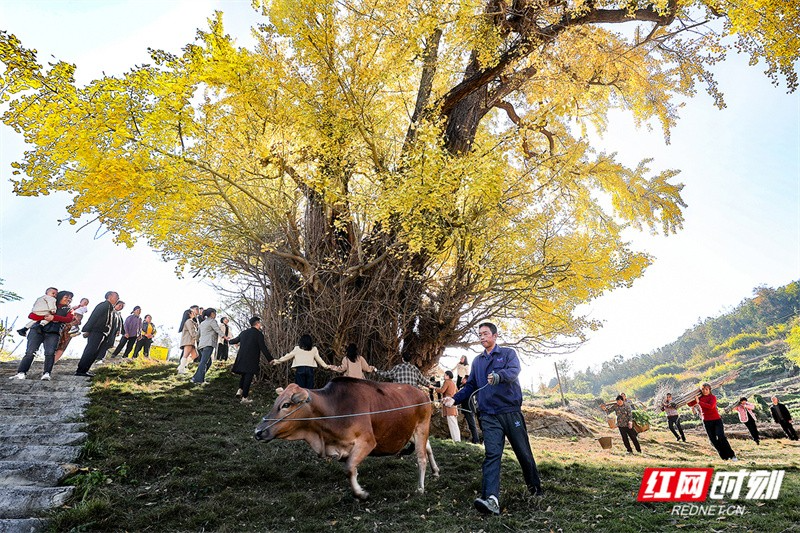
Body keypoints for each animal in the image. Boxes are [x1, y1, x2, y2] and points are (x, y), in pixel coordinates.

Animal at [255, 376, 440, 496]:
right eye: (275, 402)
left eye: (286, 405)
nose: (258, 431)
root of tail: (423, 393)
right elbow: (352, 469)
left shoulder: (367, 441)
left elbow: (350, 468)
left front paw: (360, 493)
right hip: (415, 433)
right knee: (428, 448)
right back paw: (435, 471)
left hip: (421, 428)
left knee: (421, 457)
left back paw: (420, 487)